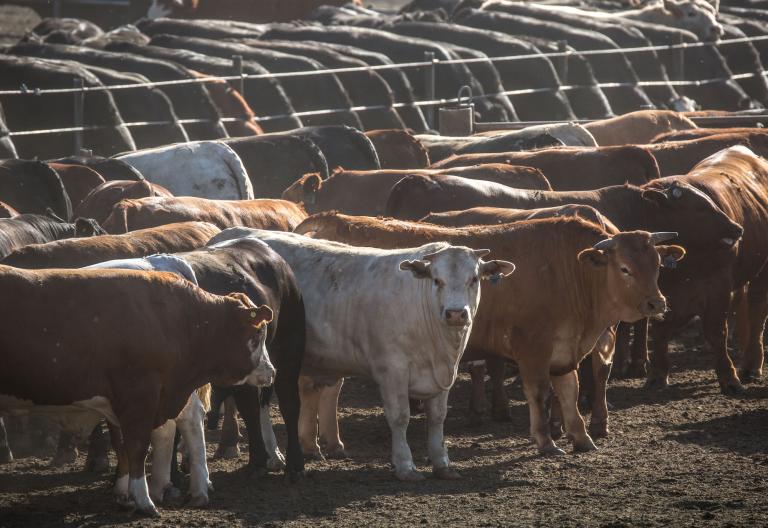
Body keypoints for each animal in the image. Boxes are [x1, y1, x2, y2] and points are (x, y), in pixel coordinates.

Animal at [0, 266, 275, 515]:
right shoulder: (137, 397)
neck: (181, 320)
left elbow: (127, 446)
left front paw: (131, 496)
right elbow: (134, 446)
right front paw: (140, 498)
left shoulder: (131, 400)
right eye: (258, 333)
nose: (271, 371)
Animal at [207, 229, 515, 480]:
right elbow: (400, 417)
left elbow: (438, 417)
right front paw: (405, 465)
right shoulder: (392, 371)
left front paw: (442, 463)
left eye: (474, 279)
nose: (455, 313)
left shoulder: (444, 373)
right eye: (437, 280)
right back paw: (267, 455)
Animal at [290, 214, 684, 451]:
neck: (567, 269)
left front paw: (582, 437)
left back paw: (329, 442)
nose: (657, 303)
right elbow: (540, 393)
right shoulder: (533, 348)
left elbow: (569, 392)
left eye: (657, 264)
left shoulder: (564, 351)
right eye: (624, 268)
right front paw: (546, 441)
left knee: (327, 387)